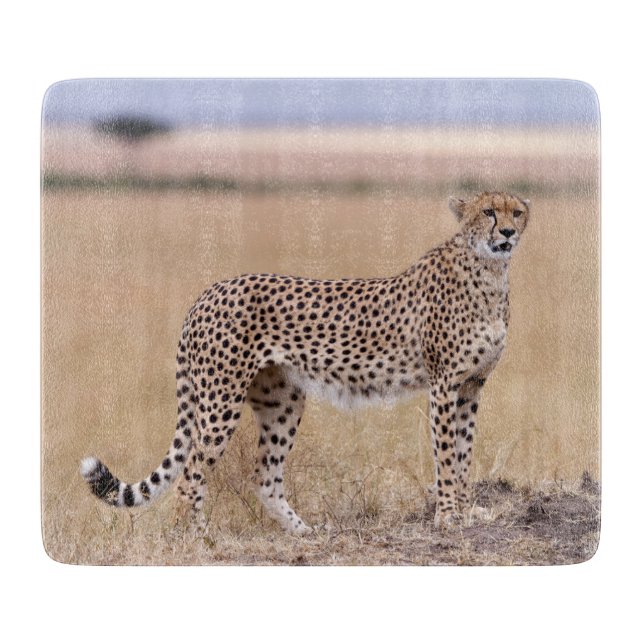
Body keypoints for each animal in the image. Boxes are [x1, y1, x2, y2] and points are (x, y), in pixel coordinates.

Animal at [81, 191, 530, 533]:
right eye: (489, 212)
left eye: (517, 212)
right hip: (220, 401)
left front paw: (468, 510)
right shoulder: (444, 385)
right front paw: (449, 516)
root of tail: (208, 292)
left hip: (282, 400)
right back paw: (194, 538)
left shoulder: (471, 386)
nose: (507, 233)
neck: (490, 272)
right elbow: (447, 455)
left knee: (264, 476)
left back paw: (303, 532)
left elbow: (465, 450)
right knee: (191, 474)